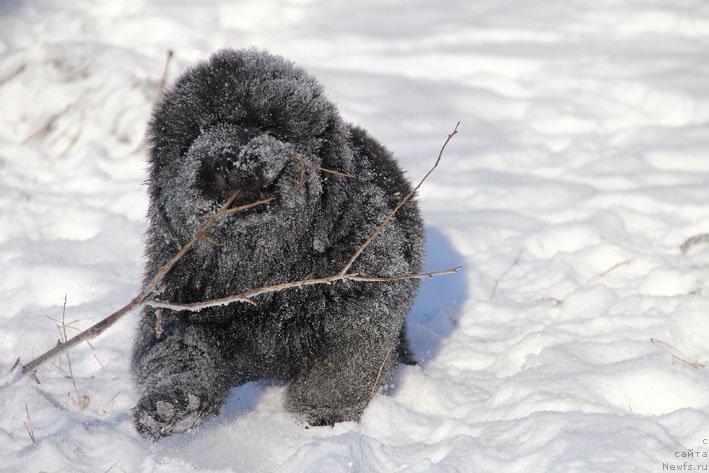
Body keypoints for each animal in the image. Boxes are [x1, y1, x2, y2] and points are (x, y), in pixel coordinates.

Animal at [131, 48, 424, 438]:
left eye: (270, 125)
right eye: (197, 132)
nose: (227, 159)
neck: (264, 270)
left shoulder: (361, 306)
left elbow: (340, 370)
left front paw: (322, 417)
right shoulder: (175, 301)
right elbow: (180, 352)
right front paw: (172, 405)